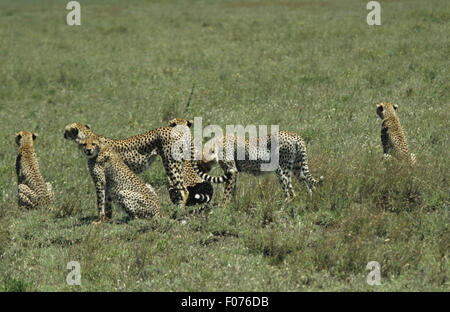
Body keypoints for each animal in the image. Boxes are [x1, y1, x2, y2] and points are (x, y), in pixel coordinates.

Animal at [192, 130, 324, 204]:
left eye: (201, 164)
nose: (200, 173)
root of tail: (294, 135)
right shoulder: (234, 173)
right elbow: (233, 190)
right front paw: (233, 206)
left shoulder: (232, 171)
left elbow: (227, 192)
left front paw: (223, 208)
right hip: (297, 168)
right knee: (308, 185)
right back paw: (309, 202)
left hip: (282, 169)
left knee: (290, 192)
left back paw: (281, 209)